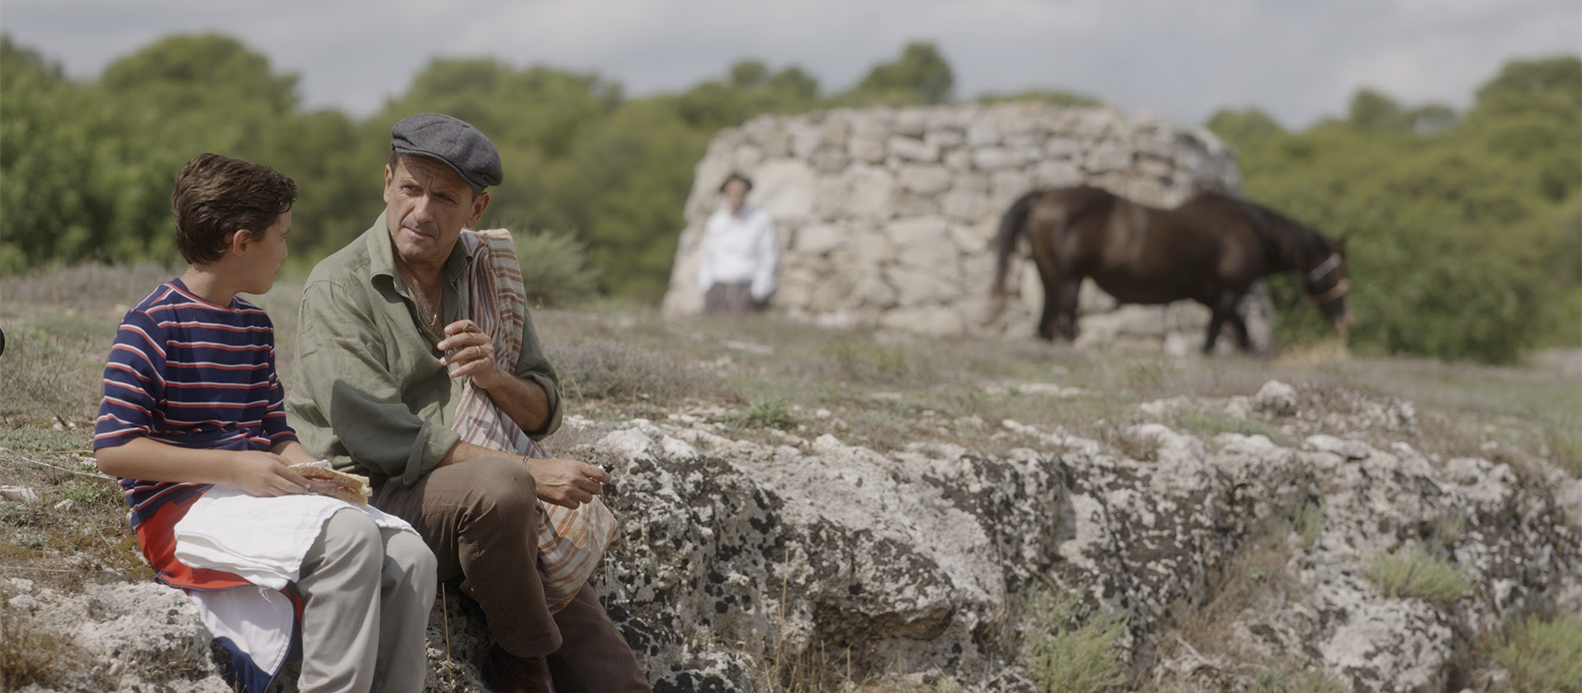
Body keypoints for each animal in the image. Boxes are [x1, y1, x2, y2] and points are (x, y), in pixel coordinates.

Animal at [987, 185, 1347, 351]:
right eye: (1339, 270)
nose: (1346, 319)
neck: (1251, 231)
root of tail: (1045, 194)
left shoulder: (1208, 295)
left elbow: (1240, 330)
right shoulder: (1228, 293)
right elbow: (1214, 337)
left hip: (1049, 278)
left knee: (1047, 326)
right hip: (1069, 279)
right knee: (1065, 323)